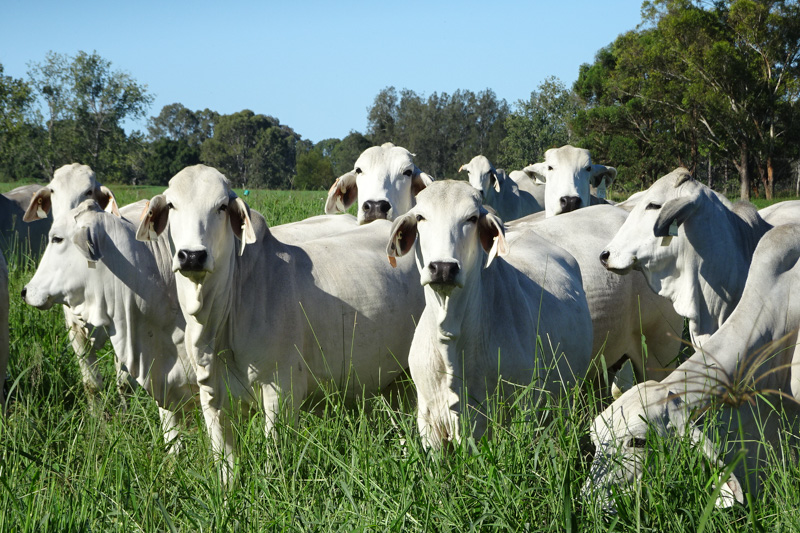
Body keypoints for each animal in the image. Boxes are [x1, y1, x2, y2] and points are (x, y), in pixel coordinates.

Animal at [138, 164, 424, 476]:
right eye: (172, 205)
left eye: (222, 207)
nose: (192, 255)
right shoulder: (212, 397)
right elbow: (226, 466)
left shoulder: (281, 391)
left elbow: (272, 460)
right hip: (394, 382)